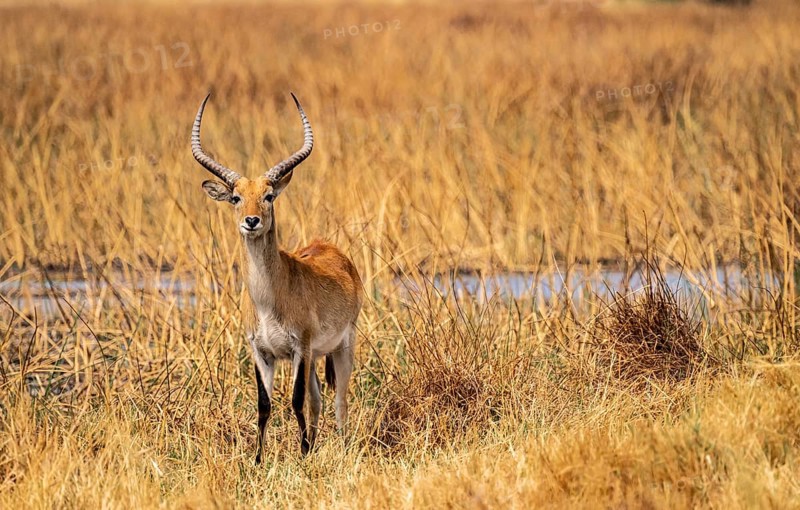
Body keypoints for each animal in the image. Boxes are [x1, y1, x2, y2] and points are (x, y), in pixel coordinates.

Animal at [190, 93, 362, 460]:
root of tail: (332, 250)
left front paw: (302, 453)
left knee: (339, 400)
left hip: (342, 346)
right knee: (318, 399)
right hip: (314, 358)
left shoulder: (300, 347)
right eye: (236, 197)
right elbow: (264, 405)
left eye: (268, 196)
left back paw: (339, 446)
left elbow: (295, 401)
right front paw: (259, 459)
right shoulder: (261, 352)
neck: (270, 300)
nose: (252, 220)